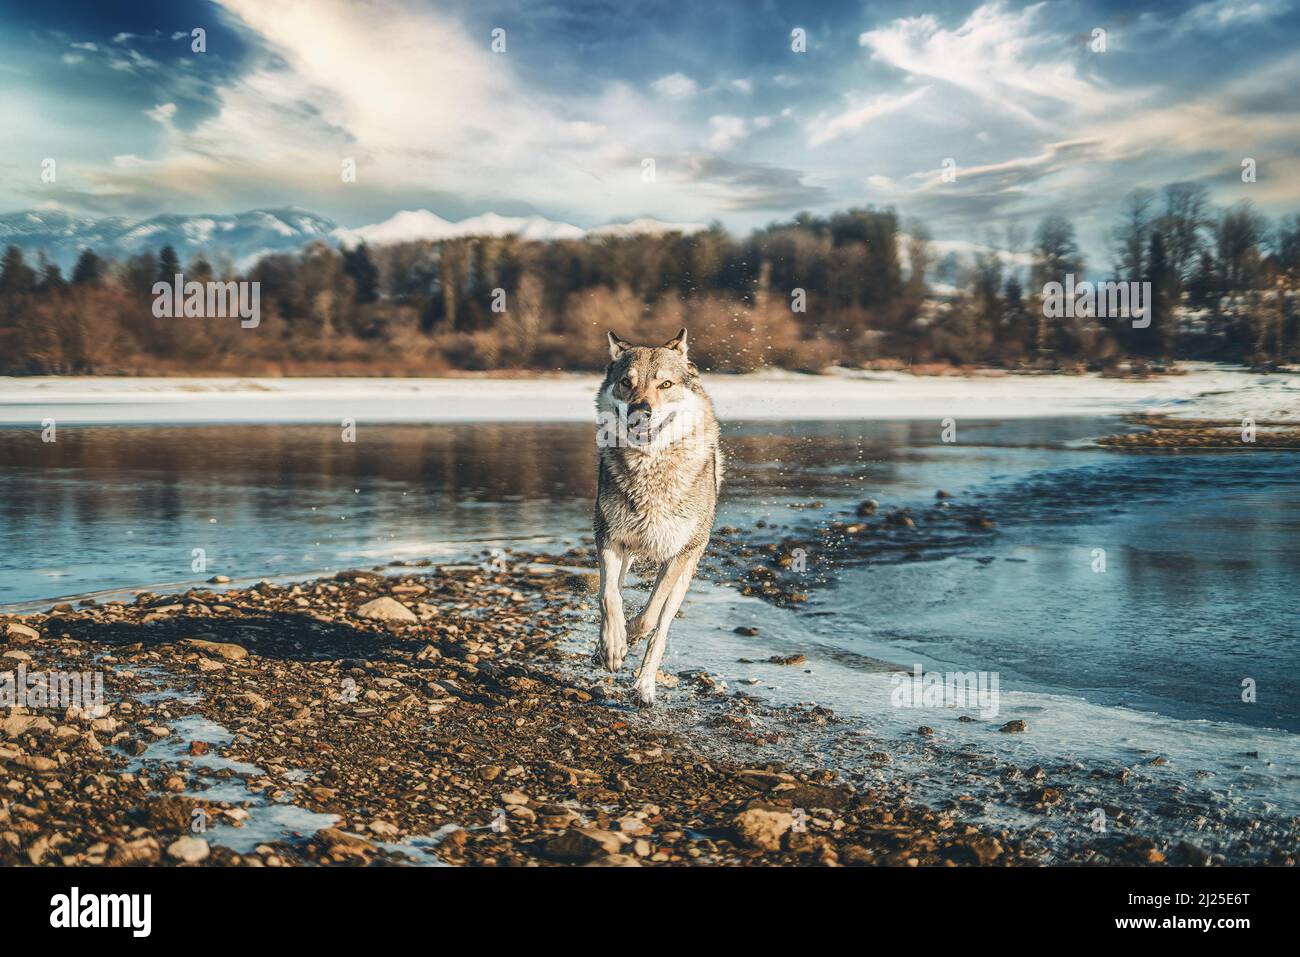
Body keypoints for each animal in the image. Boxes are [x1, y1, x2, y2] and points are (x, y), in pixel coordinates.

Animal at [595, 325, 728, 707]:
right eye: (626, 382)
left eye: (665, 384)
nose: (640, 410)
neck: (651, 467)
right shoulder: (608, 538)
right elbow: (609, 597)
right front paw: (613, 647)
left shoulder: (677, 555)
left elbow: (650, 616)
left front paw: (630, 638)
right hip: (626, 554)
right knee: (613, 592)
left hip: (687, 571)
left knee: (663, 627)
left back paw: (644, 687)